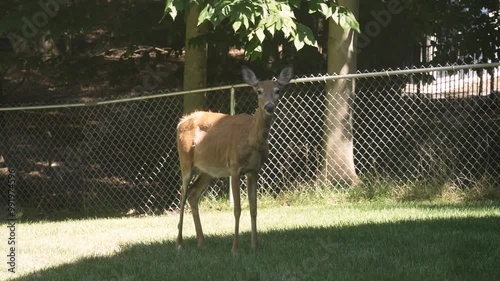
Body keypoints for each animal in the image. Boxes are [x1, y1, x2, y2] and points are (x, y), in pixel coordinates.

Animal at [176, 65, 292, 254]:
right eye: (259, 91)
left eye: (278, 91)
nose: (269, 106)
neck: (251, 140)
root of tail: (181, 121)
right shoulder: (234, 167)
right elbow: (237, 208)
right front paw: (235, 249)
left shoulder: (254, 170)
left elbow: (254, 208)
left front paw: (255, 246)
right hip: (185, 160)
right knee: (183, 195)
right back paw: (179, 243)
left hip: (208, 170)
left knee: (193, 194)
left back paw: (202, 242)